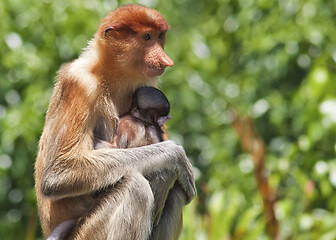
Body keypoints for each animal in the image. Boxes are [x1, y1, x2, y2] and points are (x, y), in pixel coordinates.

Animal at [35, 3, 196, 240]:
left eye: (160, 36)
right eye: (147, 37)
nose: (166, 60)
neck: (111, 72)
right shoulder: (80, 83)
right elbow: (58, 174)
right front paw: (176, 155)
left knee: (173, 192)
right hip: (86, 233)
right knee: (135, 187)